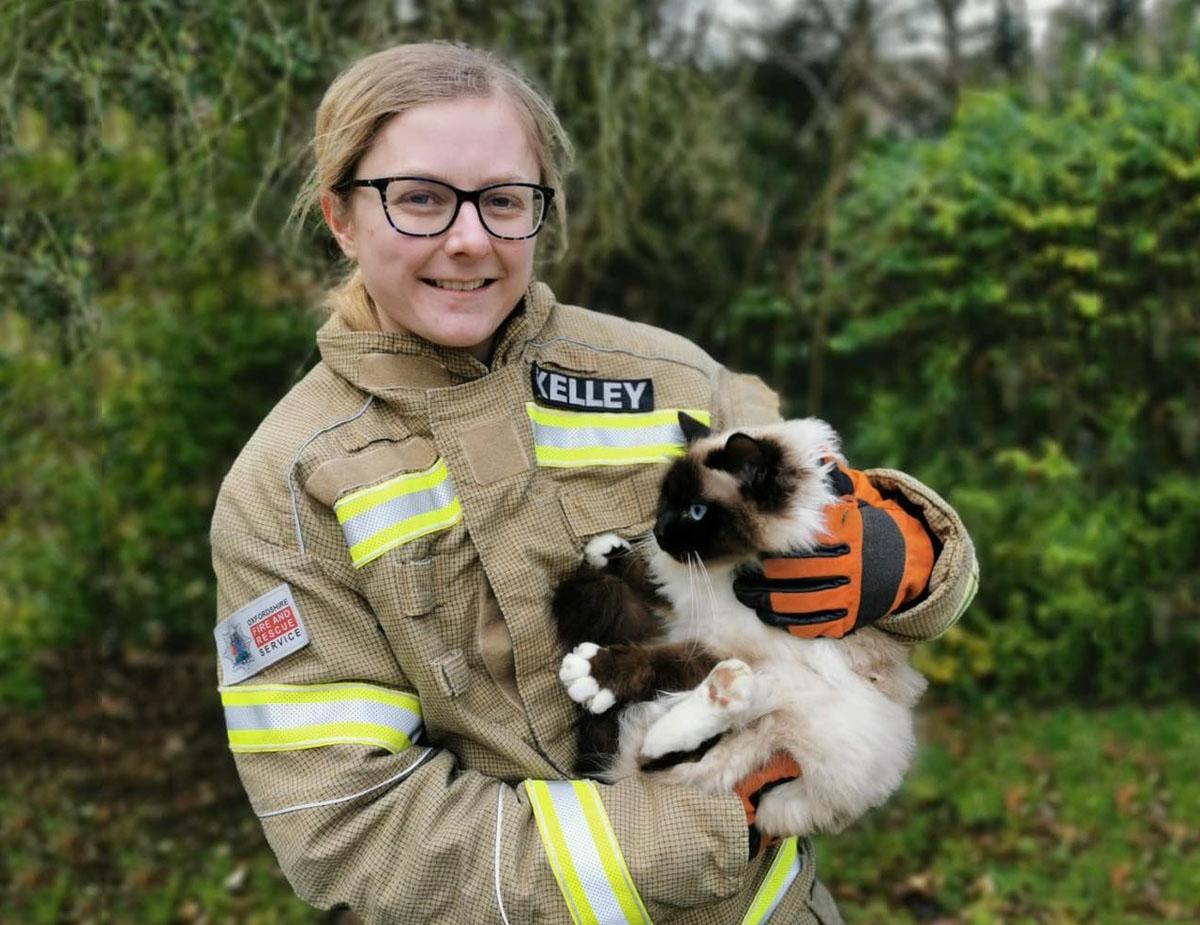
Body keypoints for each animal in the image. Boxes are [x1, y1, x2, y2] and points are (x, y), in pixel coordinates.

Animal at [552, 415, 926, 835]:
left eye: (696, 511)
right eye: (665, 501)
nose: (660, 533)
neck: (729, 572)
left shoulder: (725, 643)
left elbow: (659, 661)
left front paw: (592, 673)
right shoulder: (685, 599)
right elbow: (648, 578)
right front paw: (610, 551)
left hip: (791, 703)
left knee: (654, 753)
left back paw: (724, 692)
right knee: (650, 755)